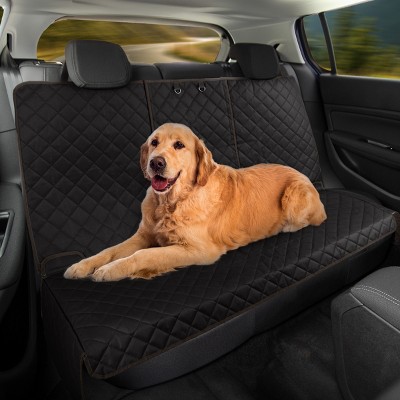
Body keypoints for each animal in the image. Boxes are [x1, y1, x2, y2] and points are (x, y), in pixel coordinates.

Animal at [64, 123, 327, 281]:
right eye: (154, 142)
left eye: (179, 145)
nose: (156, 162)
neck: (171, 202)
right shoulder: (143, 235)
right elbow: (110, 250)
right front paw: (83, 266)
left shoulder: (199, 251)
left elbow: (143, 255)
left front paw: (109, 271)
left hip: (293, 194)